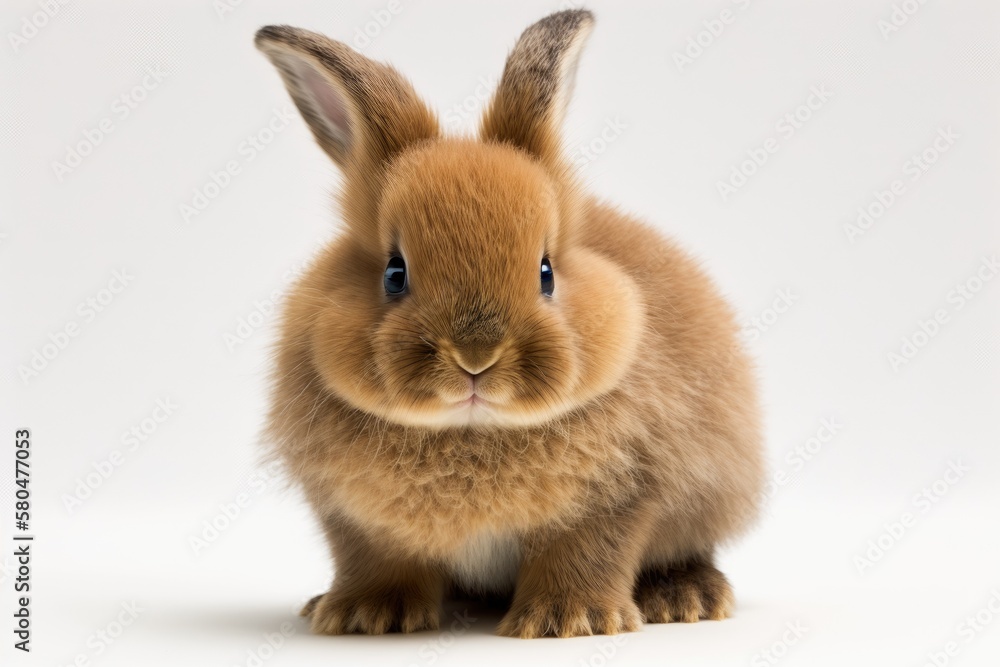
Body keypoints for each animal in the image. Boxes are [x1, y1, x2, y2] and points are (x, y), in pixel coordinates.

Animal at [254, 7, 760, 640]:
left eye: (546, 273)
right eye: (395, 274)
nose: (476, 358)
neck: (473, 433)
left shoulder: (622, 494)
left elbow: (587, 552)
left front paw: (570, 620)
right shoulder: (353, 515)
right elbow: (374, 559)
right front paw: (368, 616)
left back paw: (684, 598)